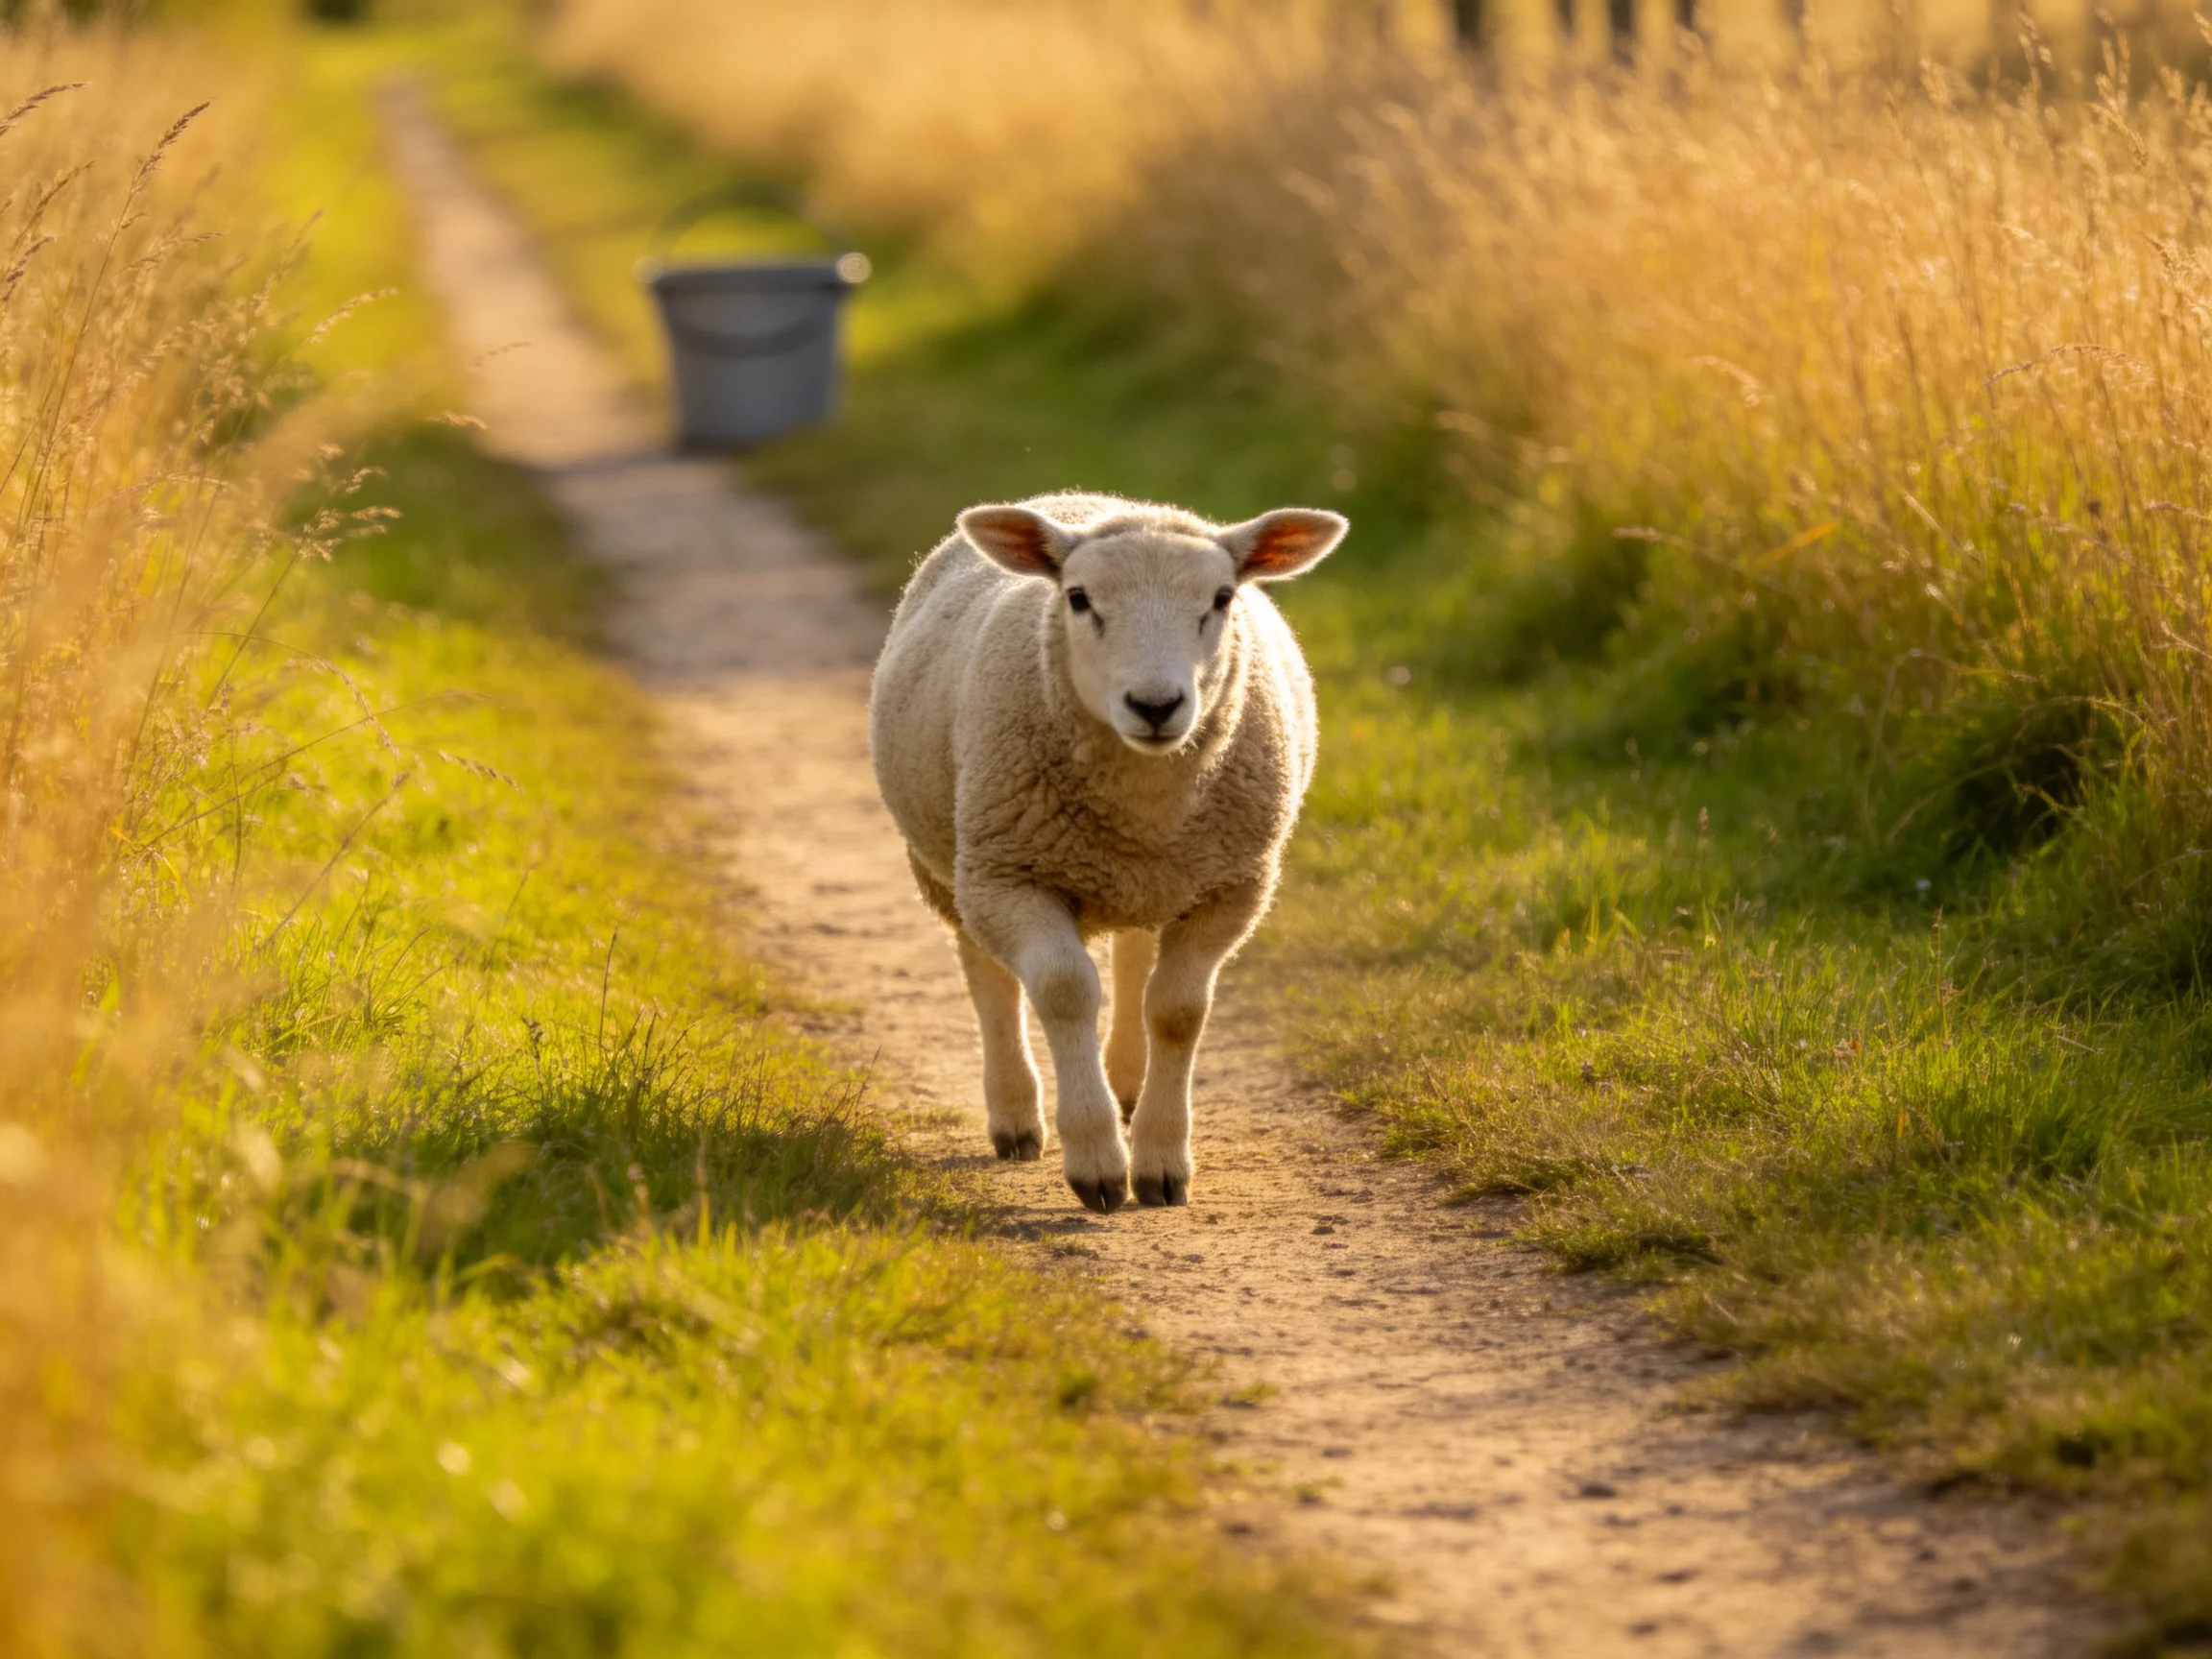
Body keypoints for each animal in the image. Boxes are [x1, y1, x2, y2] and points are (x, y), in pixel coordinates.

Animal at [869, 491, 1348, 1212]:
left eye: (1223, 597)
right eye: (1078, 598)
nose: (1155, 704)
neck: (1143, 802)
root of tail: (1091, 501)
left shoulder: (1232, 886)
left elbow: (1177, 1011)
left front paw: (1161, 1162)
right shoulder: (1009, 874)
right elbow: (1065, 992)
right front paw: (1096, 1162)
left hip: (1156, 877)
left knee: (1134, 954)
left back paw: (1129, 1083)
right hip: (952, 865)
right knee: (988, 976)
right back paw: (1016, 1115)